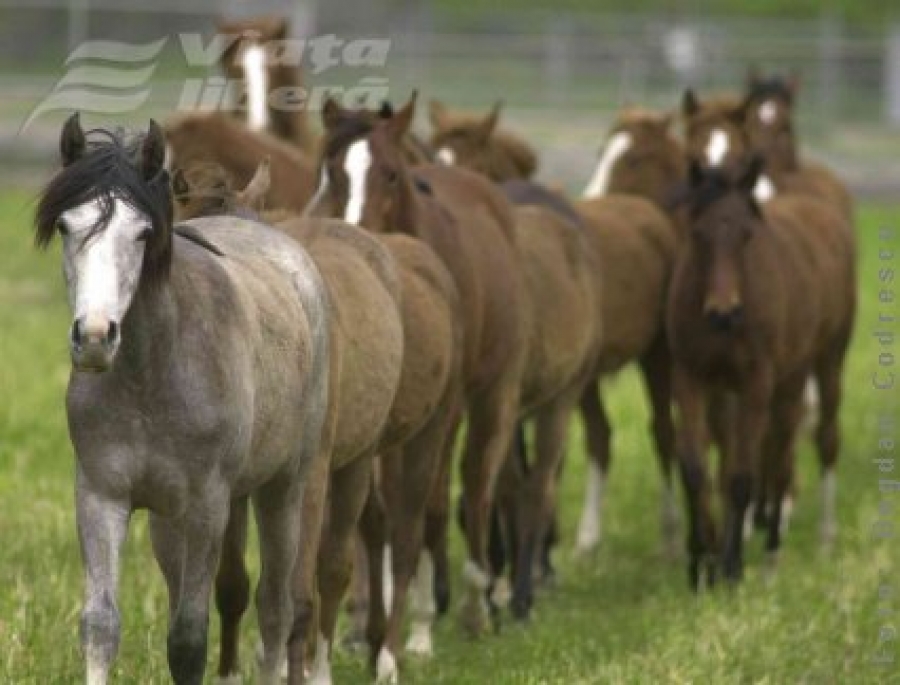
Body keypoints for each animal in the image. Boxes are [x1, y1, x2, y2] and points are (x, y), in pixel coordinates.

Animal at [672, 158, 856, 584]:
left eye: (746, 235)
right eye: (698, 232)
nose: (723, 312)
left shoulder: (755, 381)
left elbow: (741, 475)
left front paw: (731, 568)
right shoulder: (691, 377)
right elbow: (695, 467)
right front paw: (701, 563)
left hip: (824, 362)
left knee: (817, 441)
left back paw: (804, 545)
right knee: (777, 451)